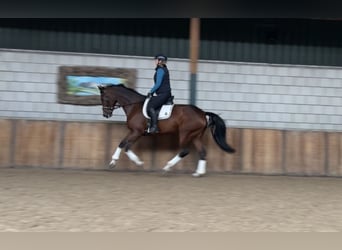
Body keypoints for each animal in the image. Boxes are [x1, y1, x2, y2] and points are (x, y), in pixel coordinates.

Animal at [97, 84, 234, 178]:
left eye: (104, 98)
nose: (106, 114)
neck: (135, 106)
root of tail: (202, 113)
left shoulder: (136, 132)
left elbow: (126, 147)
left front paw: (138, 162)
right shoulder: (135, 132)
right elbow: (122, 144)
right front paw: (113, 162)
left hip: (185, 133)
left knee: (184, 151)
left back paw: (167, 167)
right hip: (196, 136)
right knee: (202, 152)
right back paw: (198, 173)